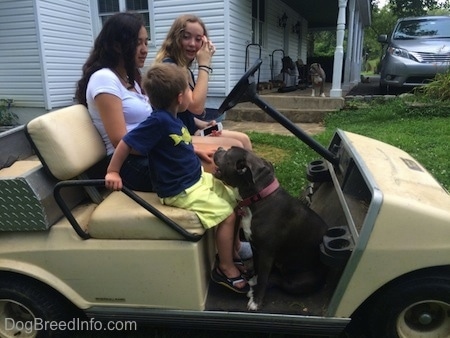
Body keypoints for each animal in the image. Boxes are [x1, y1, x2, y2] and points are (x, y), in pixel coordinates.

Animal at [214, 147, 326, 310]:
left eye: (228, 153)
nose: (219, 148)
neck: (260, 198)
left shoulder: (266, 253)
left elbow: (263, 278)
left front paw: (256, 301)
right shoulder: (256, 247)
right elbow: (257, 268)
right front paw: (254, 279)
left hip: (298, 282)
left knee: (278, 281)